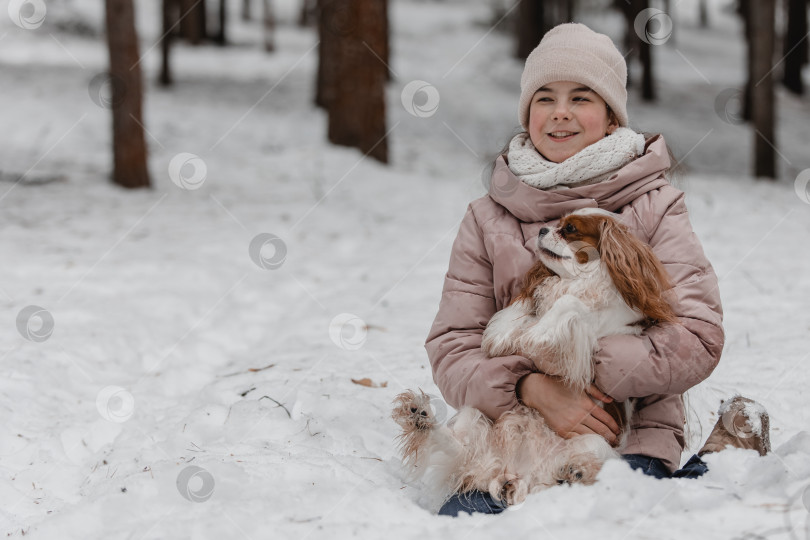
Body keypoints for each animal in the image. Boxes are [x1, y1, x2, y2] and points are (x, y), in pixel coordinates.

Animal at [392, 208, 676, 506]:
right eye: (557, 224)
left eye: (570, 229)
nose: (542, 230)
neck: (577, 280)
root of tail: (517, 472)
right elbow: (523, 309)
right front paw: (502, 336)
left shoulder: (592, 336)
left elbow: (567, 305)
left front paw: (536, 335)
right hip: (475, 414)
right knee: (458, 447)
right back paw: (420, 418)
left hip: (595, 442)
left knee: (568, 475)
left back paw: (576, 471)